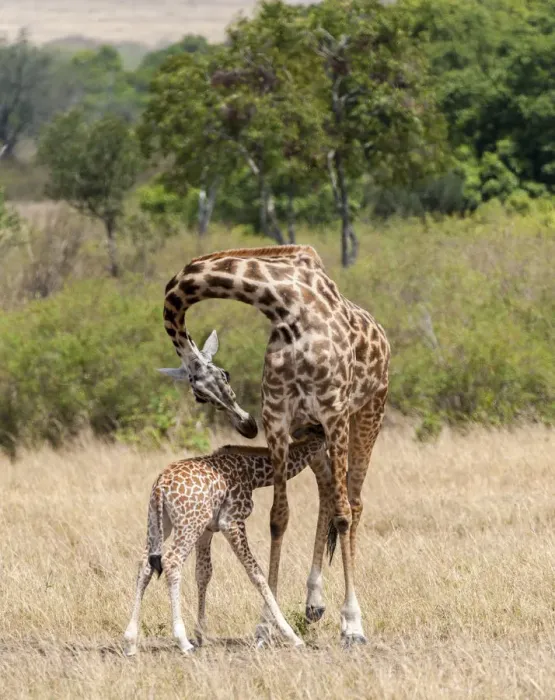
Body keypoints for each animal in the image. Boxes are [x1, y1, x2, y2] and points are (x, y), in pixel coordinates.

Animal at [122, 425, 328, 656]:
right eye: (325, 449)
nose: (327, 471)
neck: (253, 474)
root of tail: (161, 486)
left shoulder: (207, 529)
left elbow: (203, 573)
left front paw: (201, 634)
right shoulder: (231, 521)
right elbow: (256, 574)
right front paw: (291, 635)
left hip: (159, 522)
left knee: (145, 563)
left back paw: (130, 641)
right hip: (188, 524)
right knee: (172, 561)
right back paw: (182, 641)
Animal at [160, 244, 390, 645]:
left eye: (225, 375)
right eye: (200, 396)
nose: (246, 425)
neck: (287, 308)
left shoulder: (334, 412)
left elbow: (344, 515)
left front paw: (353, 625)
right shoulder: (280, 420)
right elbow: (278, 518)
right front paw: (266, 625)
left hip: (367, 414)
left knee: (353, 503)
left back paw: (345, 617)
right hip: (311, 433)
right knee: (327, 493)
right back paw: (314, 603)